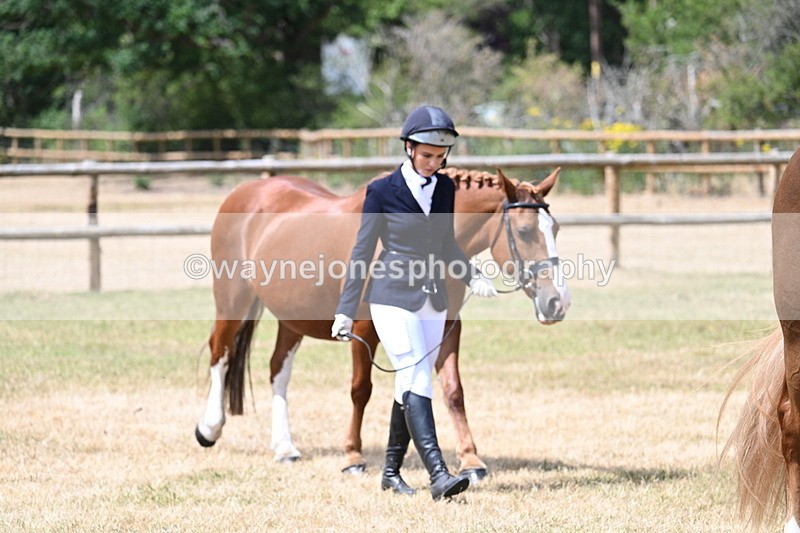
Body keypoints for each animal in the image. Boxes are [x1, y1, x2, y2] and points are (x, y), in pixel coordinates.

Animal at [194, 166, 570, 481]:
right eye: (524, 231)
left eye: (556, 228)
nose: (558, 302)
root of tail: (247, 190)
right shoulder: (363, 329)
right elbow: (361, 390)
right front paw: (352, 456)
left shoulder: (448, 325)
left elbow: (452, 391)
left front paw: (471, 460)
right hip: (233, 300)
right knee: (220, 352)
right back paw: (209, 428)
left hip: (292, 317)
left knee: (278, 371)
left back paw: (285, 448)